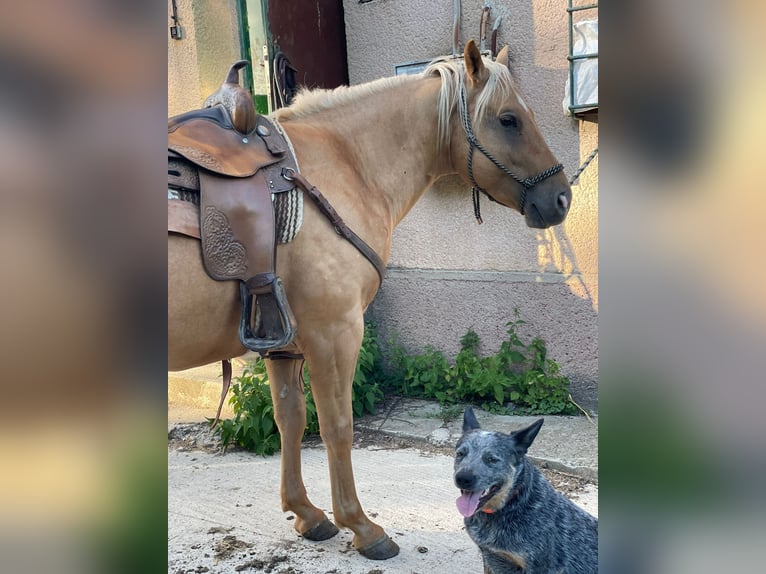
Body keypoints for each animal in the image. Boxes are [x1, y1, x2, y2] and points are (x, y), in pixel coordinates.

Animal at [168, 40, 571, 560]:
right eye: (508, 119)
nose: (560, 198)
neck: (337, 167)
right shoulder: (334, 334)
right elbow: (338, 426)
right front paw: (360, 526)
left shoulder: (283, 346)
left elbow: (290, 421)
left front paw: (307, 514)